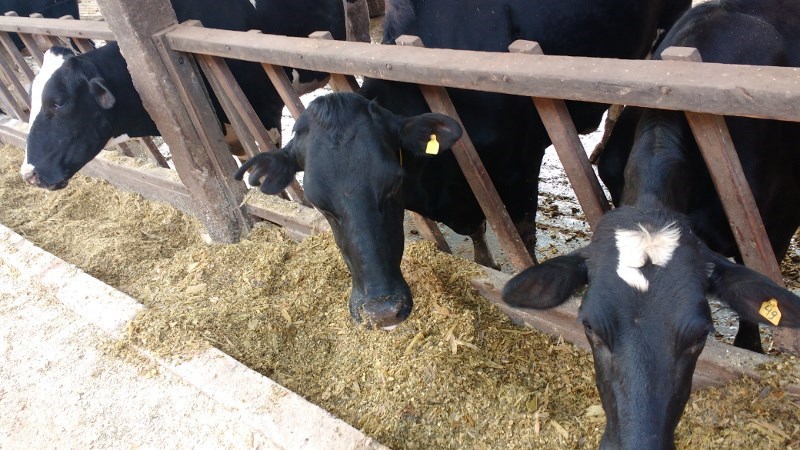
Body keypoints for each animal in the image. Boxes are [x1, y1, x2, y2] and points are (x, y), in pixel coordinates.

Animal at [234, 0, 691, 329]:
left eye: (392, 183)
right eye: (319, 202)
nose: (381, 312)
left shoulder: (521, 164)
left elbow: (522, 238)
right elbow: (477, 240)